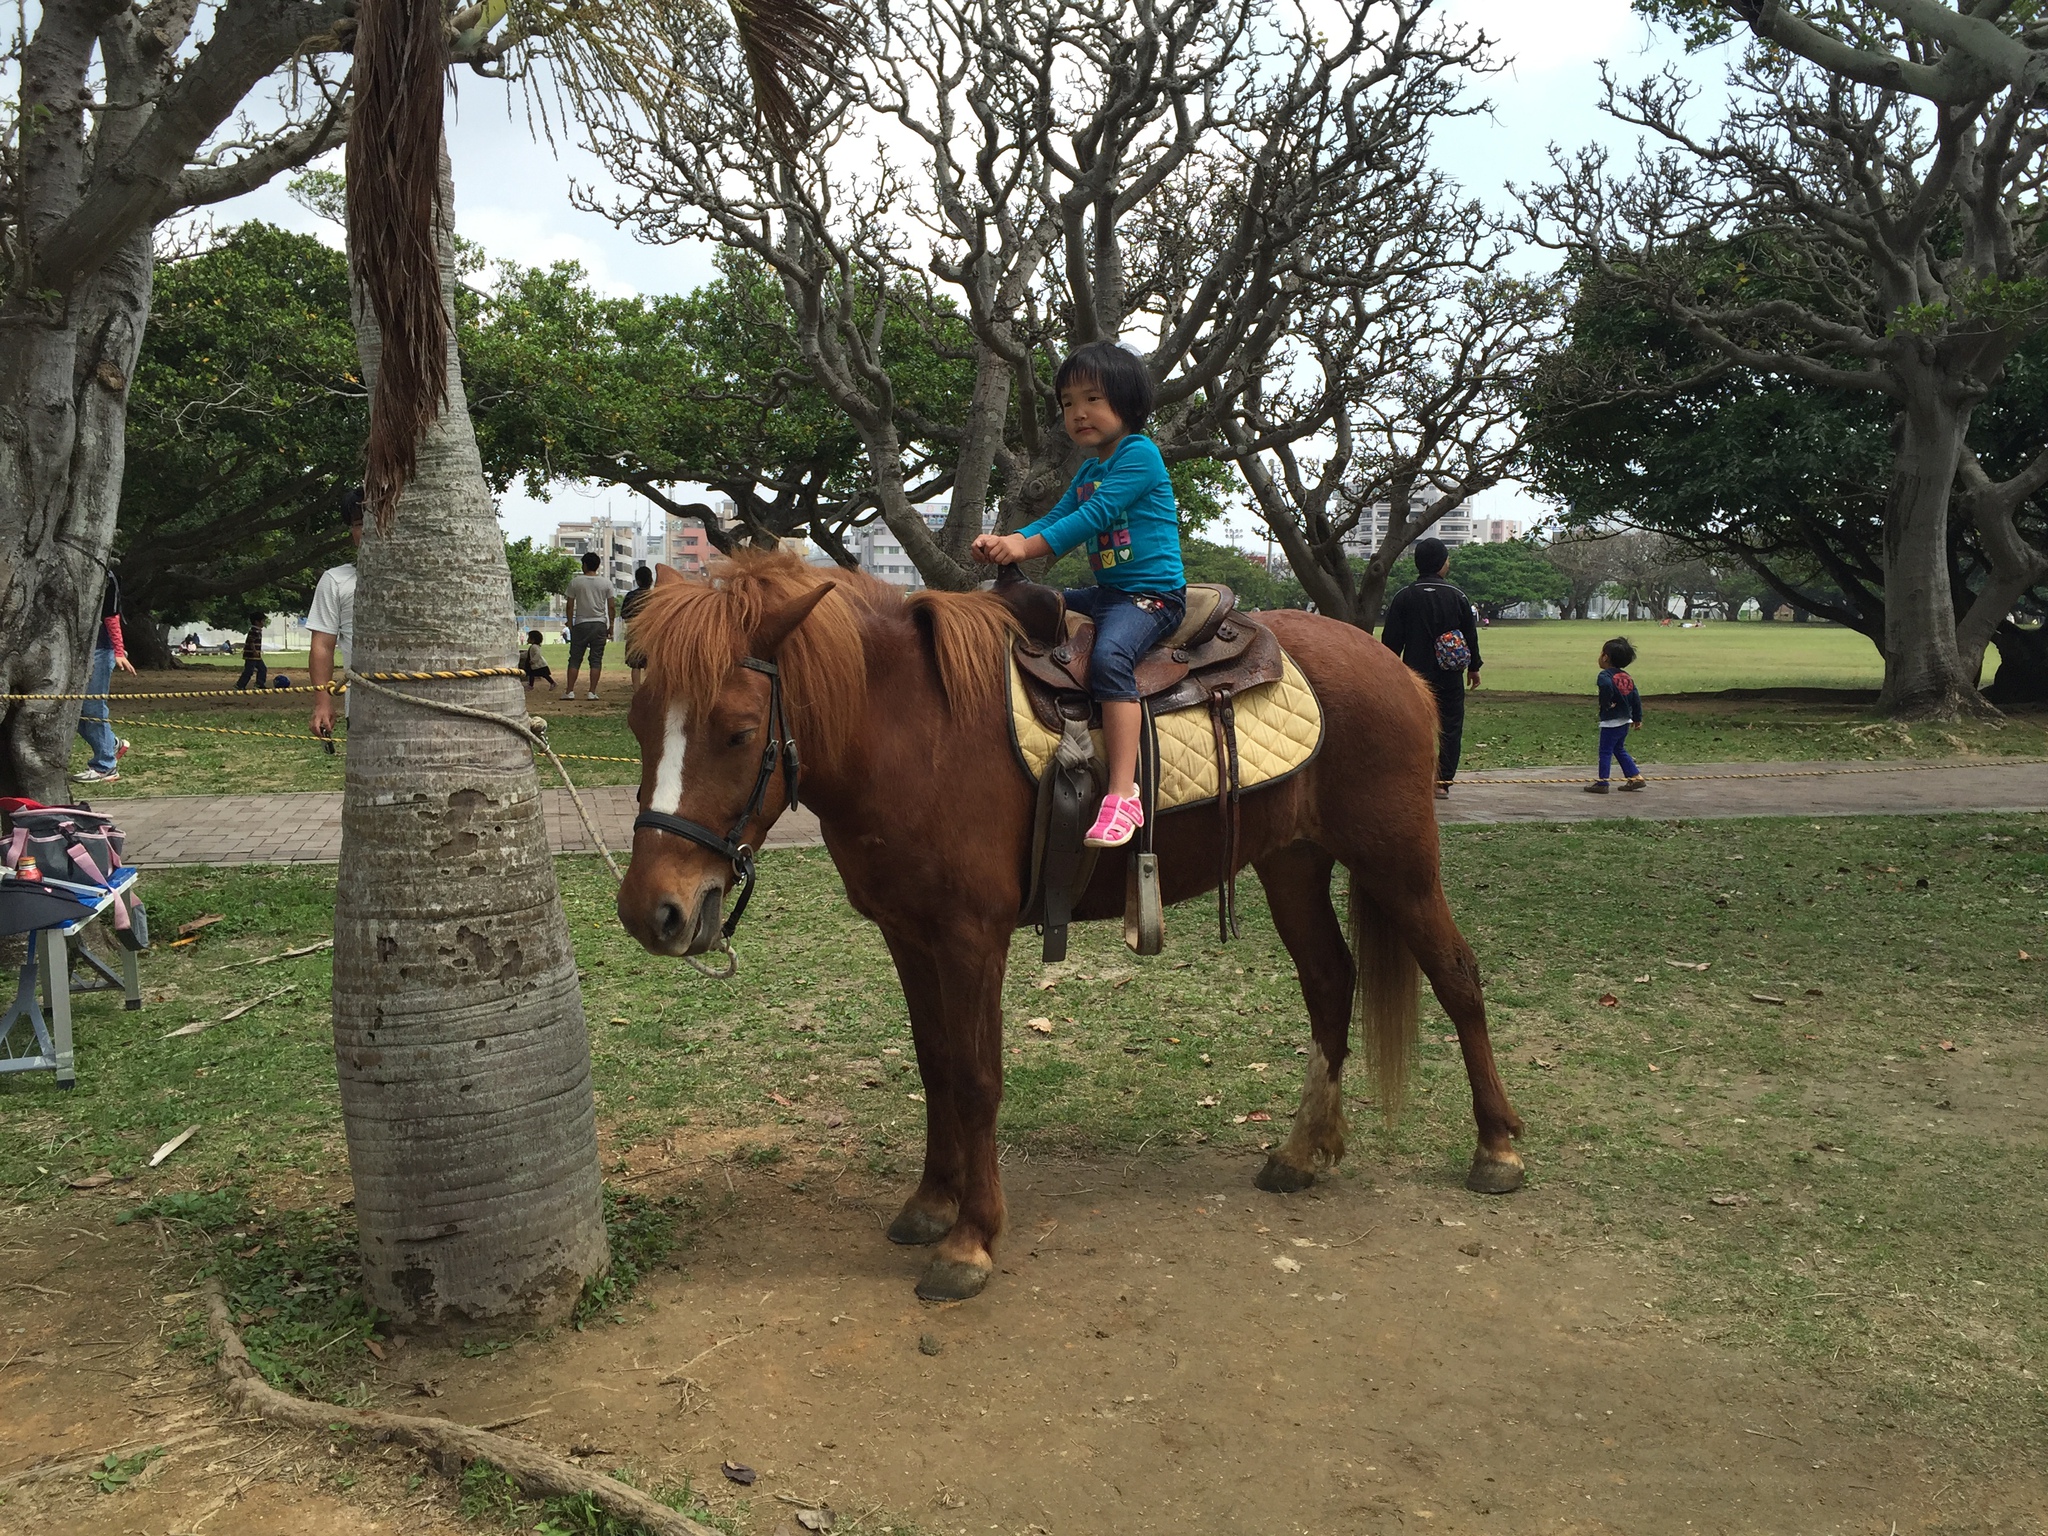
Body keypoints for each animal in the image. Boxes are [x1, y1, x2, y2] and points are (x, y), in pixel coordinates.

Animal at [614, 552, 1531, 1302]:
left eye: (739, 733)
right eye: (637, 723)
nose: (653, 911)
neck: (915, 731)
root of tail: (1395, 667)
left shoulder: (970, 938)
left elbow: (977, 1077)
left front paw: (971, 1241)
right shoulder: (907, 934)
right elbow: (935, 1065)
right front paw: (931, 1201)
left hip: (1397, 860)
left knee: (1456, 975)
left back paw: (1497, 1149)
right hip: (1293, 862)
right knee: (1330, 982)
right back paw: (1303, 1151)